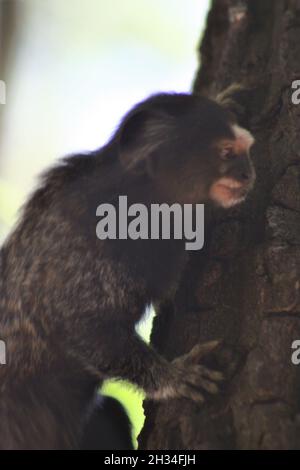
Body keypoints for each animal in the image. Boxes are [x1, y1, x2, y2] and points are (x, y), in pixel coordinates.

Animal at [0, 91, 255, 448]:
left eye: (245, 150)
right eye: (227, 153)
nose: (247, 174)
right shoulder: (94, 245)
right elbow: (80, 323)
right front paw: (172, 378)